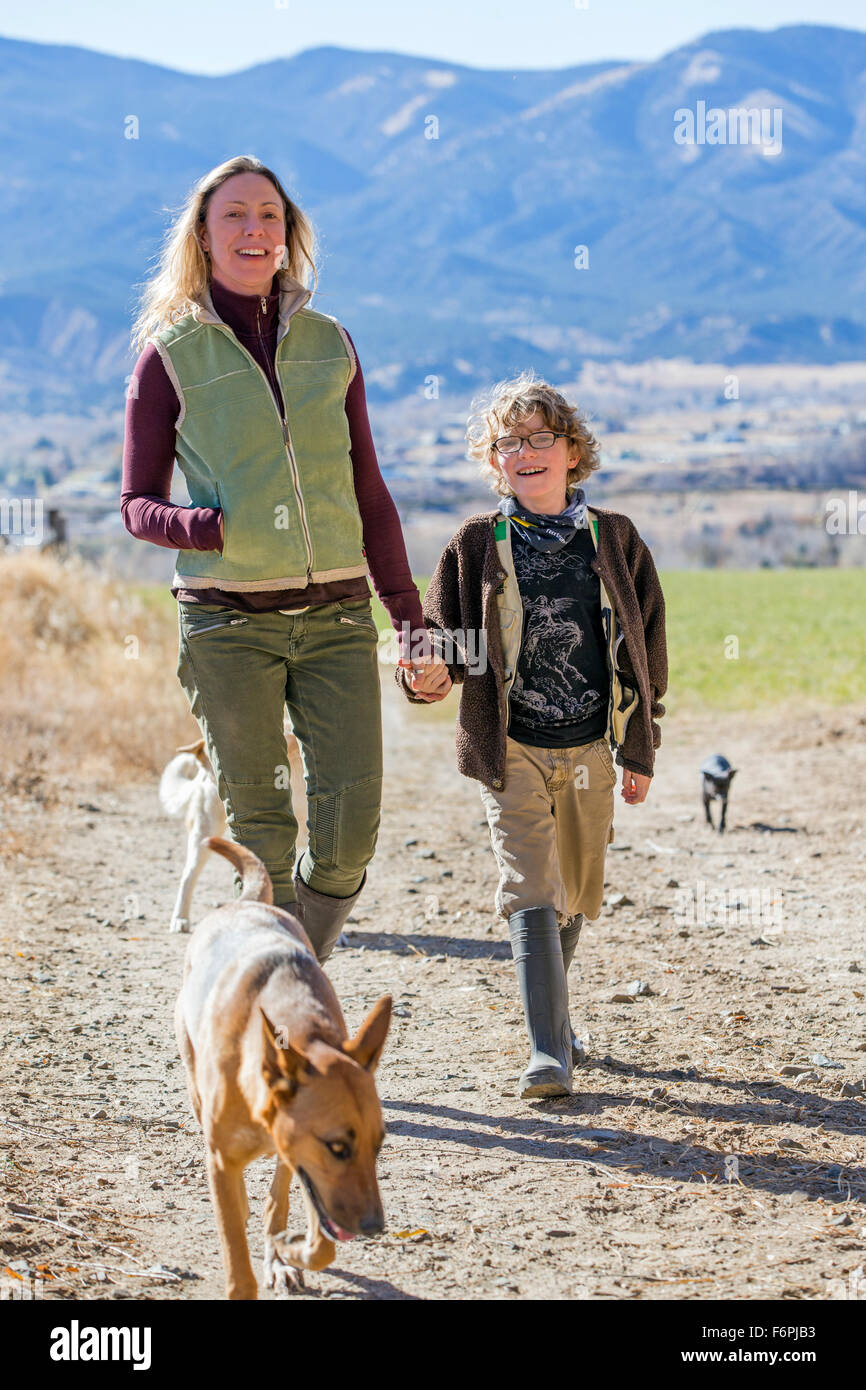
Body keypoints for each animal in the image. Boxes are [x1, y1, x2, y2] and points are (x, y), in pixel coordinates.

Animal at [174, 834, 391, 1301]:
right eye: (338, 1147)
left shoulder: (305, 1165)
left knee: (278, 1199)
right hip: (196, 1084)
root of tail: (247, 903)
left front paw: (286, 1250)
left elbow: (314, 1237)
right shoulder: (224, 1158)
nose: (374, 1228)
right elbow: (236, 1256)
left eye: (378, 1145)